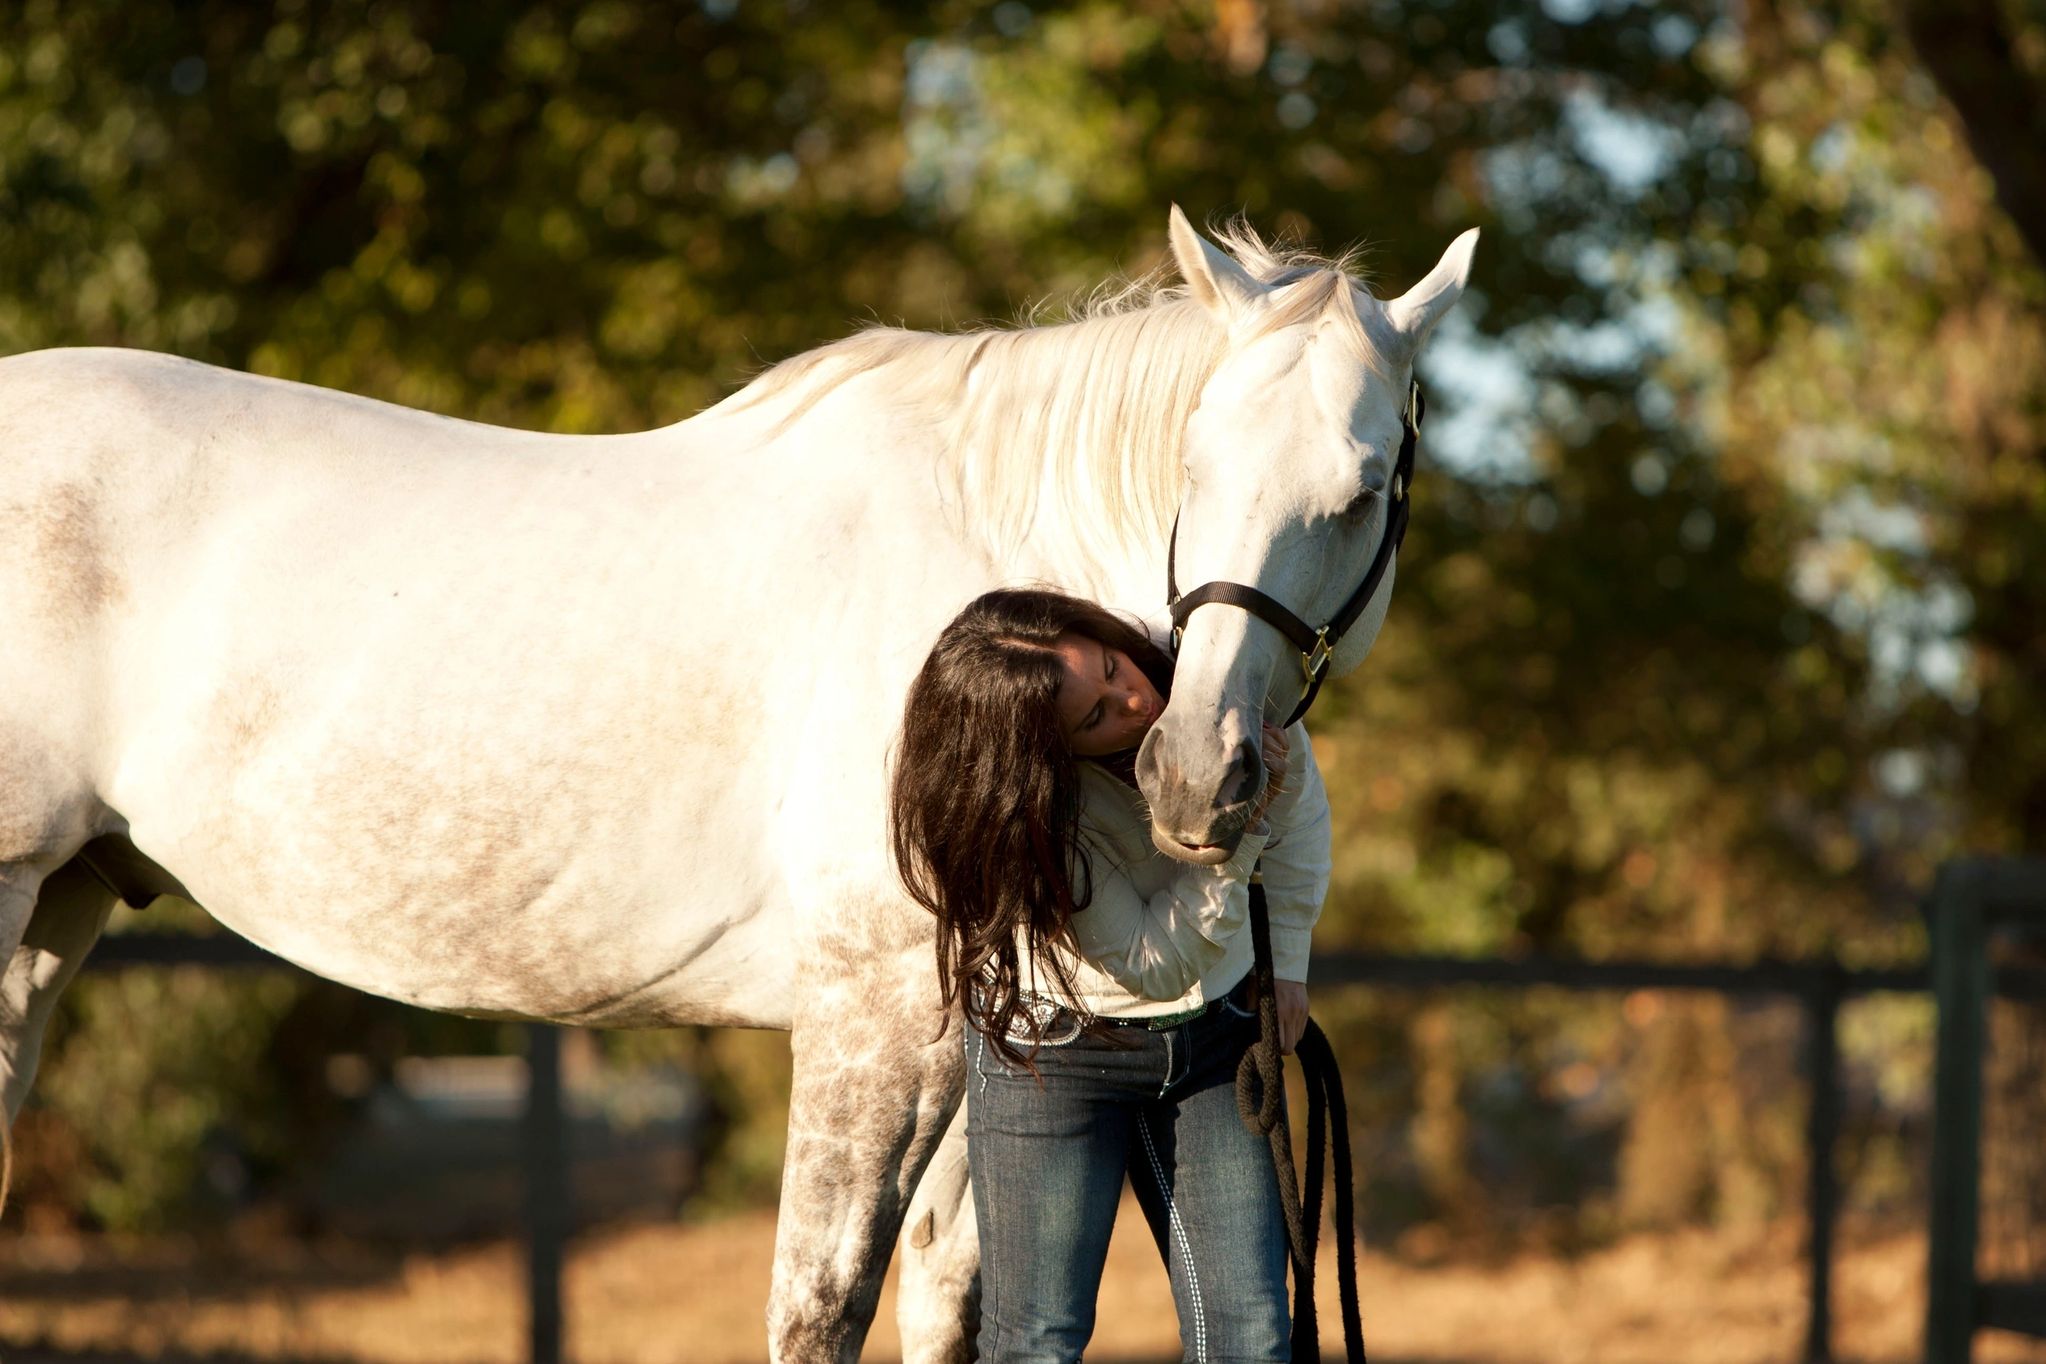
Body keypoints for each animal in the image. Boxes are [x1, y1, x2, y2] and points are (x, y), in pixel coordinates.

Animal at [0, 206, 1473, 1361]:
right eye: (1192, 463)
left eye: (1364, 487)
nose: (1197, 775)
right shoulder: (875, 1024)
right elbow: (819, 1303)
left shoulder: (988, 1046)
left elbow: (951, 1301)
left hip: (55, 909)